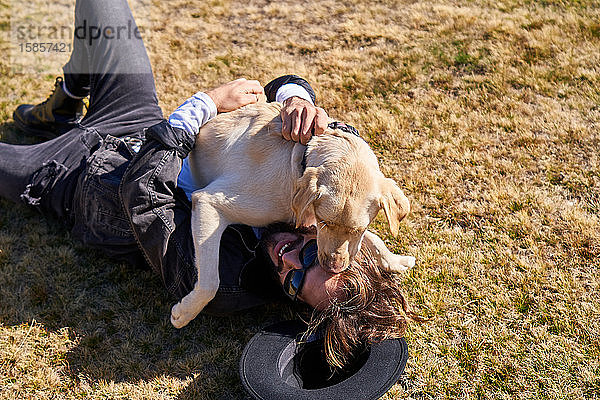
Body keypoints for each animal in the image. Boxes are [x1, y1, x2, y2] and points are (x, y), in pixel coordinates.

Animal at [169, 102, 412, 328]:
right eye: (324, 221)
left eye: (358, 229)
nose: (333, 268)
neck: (298, 161)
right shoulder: (208, 202)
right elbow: (210, 281)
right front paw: (185, 312)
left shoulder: (312, 219)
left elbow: (373, 238)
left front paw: (394, 260)